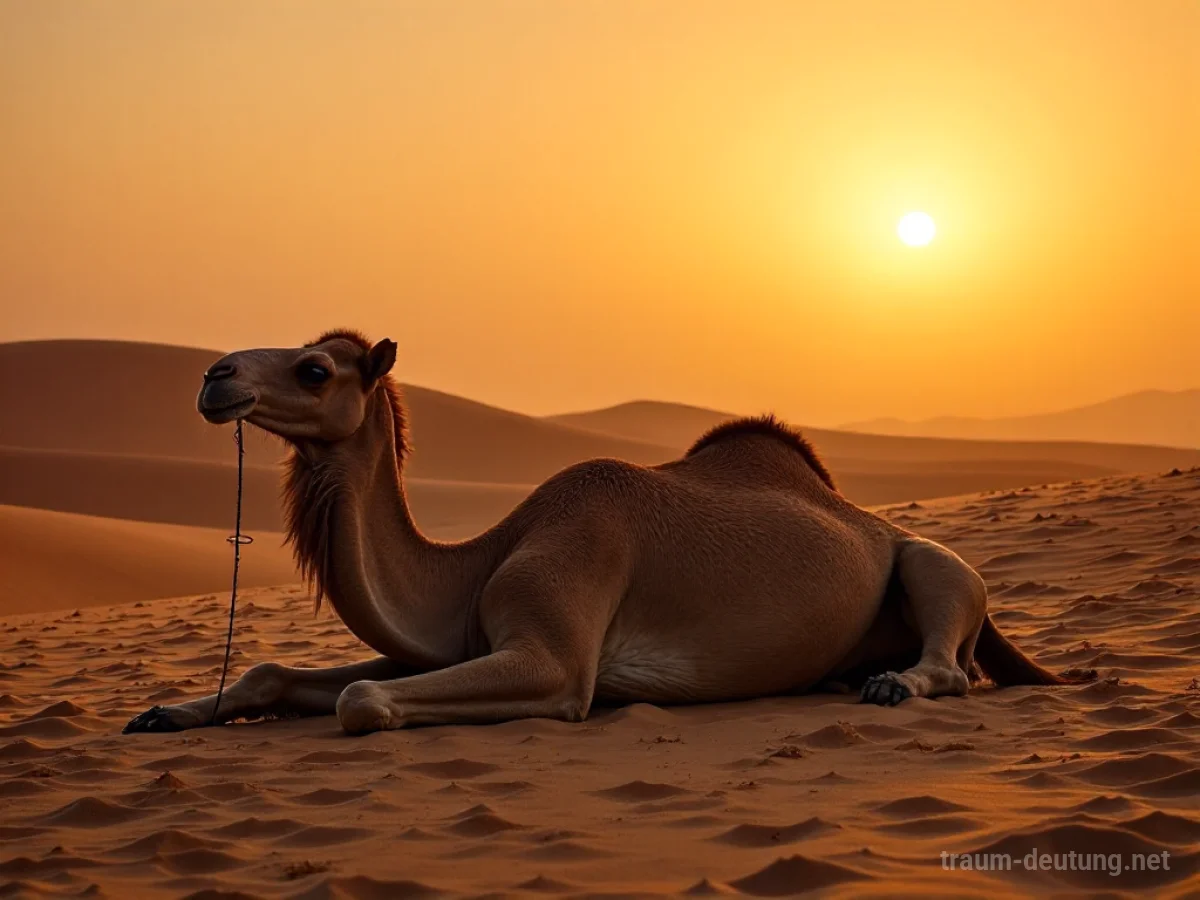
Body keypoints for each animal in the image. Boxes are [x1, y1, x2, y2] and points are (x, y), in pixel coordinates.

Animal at [124, 330, 1083, 736]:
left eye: (315, 369)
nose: (215, 376)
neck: (476, 562)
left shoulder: (555, 653)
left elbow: (363, 698)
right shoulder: (454, 643)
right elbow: (277, 672)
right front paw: (167, 713)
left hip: (930, 563)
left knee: (952, 653)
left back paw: (894, 685)